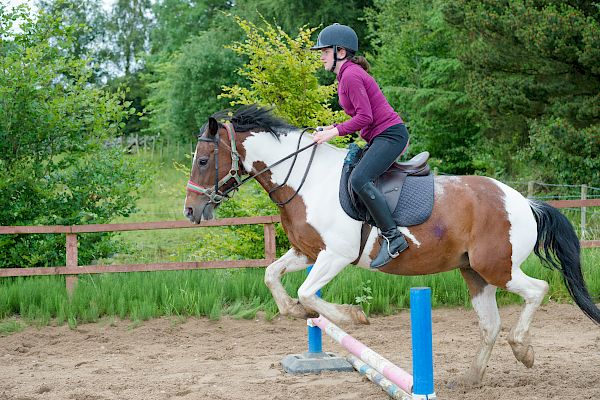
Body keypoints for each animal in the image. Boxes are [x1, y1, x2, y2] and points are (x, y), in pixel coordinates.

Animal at [184, 104, 600, 386]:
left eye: (203, 160)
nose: (190, 211)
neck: (305, 180)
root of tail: (524, 202)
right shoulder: (307, 252)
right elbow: (273, 277)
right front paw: (297, 313)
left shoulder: (334, 256)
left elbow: (306, 292)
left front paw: (351, 316)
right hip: (474, 272)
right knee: (490, 324)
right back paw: (471, 378)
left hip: (497, 267)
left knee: (537, 290)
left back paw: (523, 350)